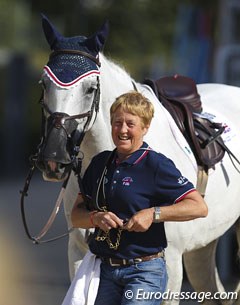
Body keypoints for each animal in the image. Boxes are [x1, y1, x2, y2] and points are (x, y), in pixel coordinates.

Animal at [36, 15, 240, 302]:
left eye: (90, 89)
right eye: (44, 84)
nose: (54, 158)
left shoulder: (171, 263)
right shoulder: (77, 251)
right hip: (204, 244)